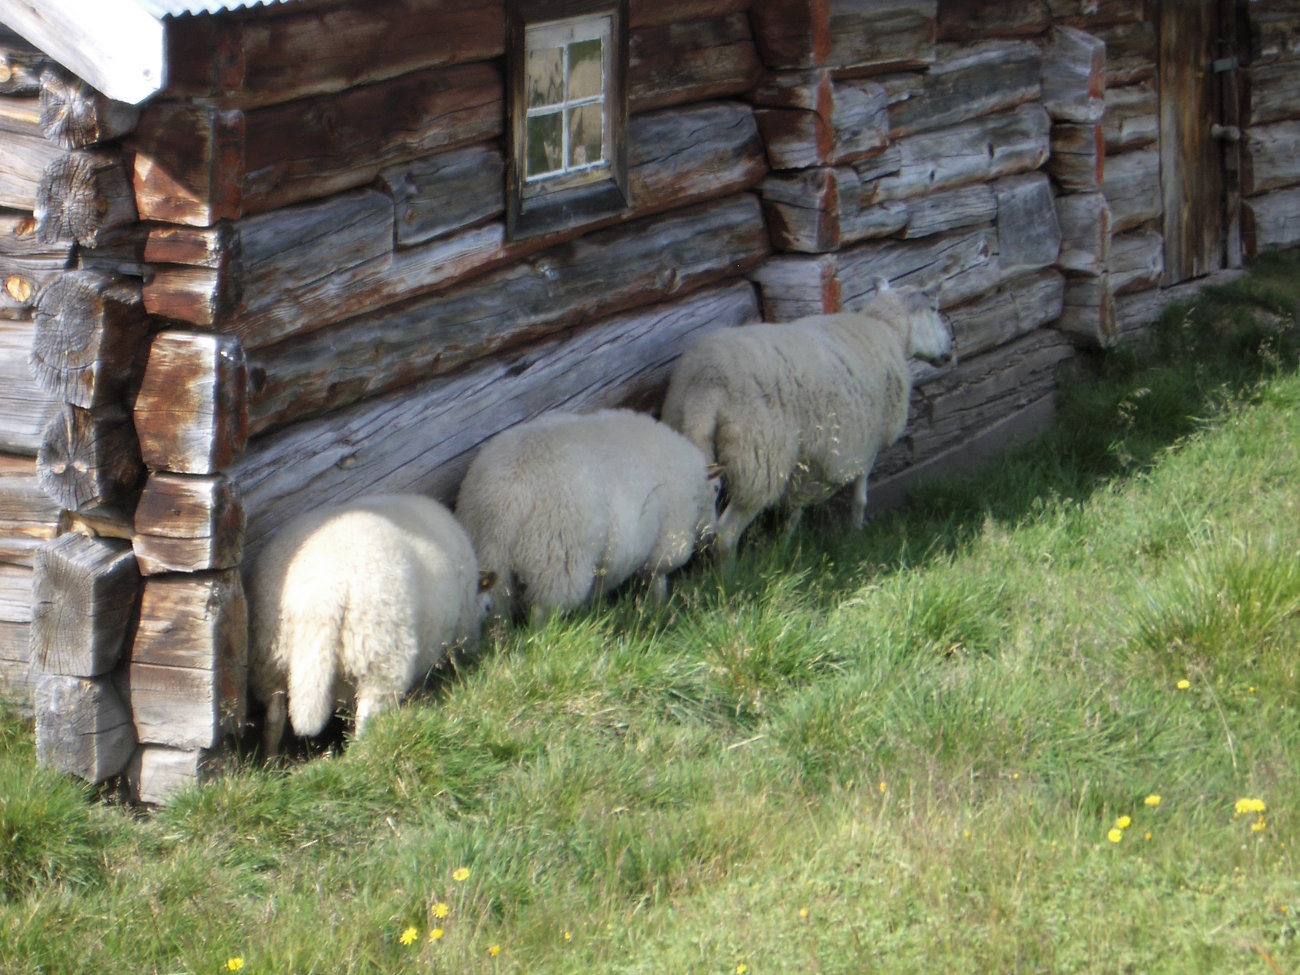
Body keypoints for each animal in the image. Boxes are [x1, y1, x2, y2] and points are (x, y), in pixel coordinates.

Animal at [247, 493, 489, 757]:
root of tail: (322, 594)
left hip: (271, 658)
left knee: (274, 714)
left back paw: (271, 759)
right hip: (381, 655)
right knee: (367, 717)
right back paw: (361, 755)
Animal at [454, 408, 720, 623]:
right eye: (718, 490)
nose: (712, 537)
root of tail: (508, 496)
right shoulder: (669, 538)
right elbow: (658, 577)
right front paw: (659, 606)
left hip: (490, 552)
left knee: (499, 611)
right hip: (557, 559)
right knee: (543, 613)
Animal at [660, 280, 954, 561]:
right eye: (934, 308)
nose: (950, 351)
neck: (887, 329)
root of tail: (706, 386)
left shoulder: (810, 458)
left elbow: (795, 506)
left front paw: (784, 546)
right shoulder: (867, 443)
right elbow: (860, 496)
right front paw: (857, 531)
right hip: (759, 460)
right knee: (726, 534)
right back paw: (731, 576)